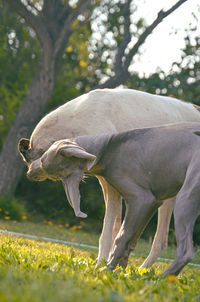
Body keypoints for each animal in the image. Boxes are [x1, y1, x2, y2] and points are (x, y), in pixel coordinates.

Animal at [20, 122, 200, 276]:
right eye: (55, 176)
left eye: (43, 155)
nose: (29, 174)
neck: (107, 148)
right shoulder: (153, 203)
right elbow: (131, 240)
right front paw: (122, 270)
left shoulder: (141, 200)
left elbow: (121, 237)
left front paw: (107, 269)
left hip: (184, 199)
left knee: (186, 252)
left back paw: (163, 278)